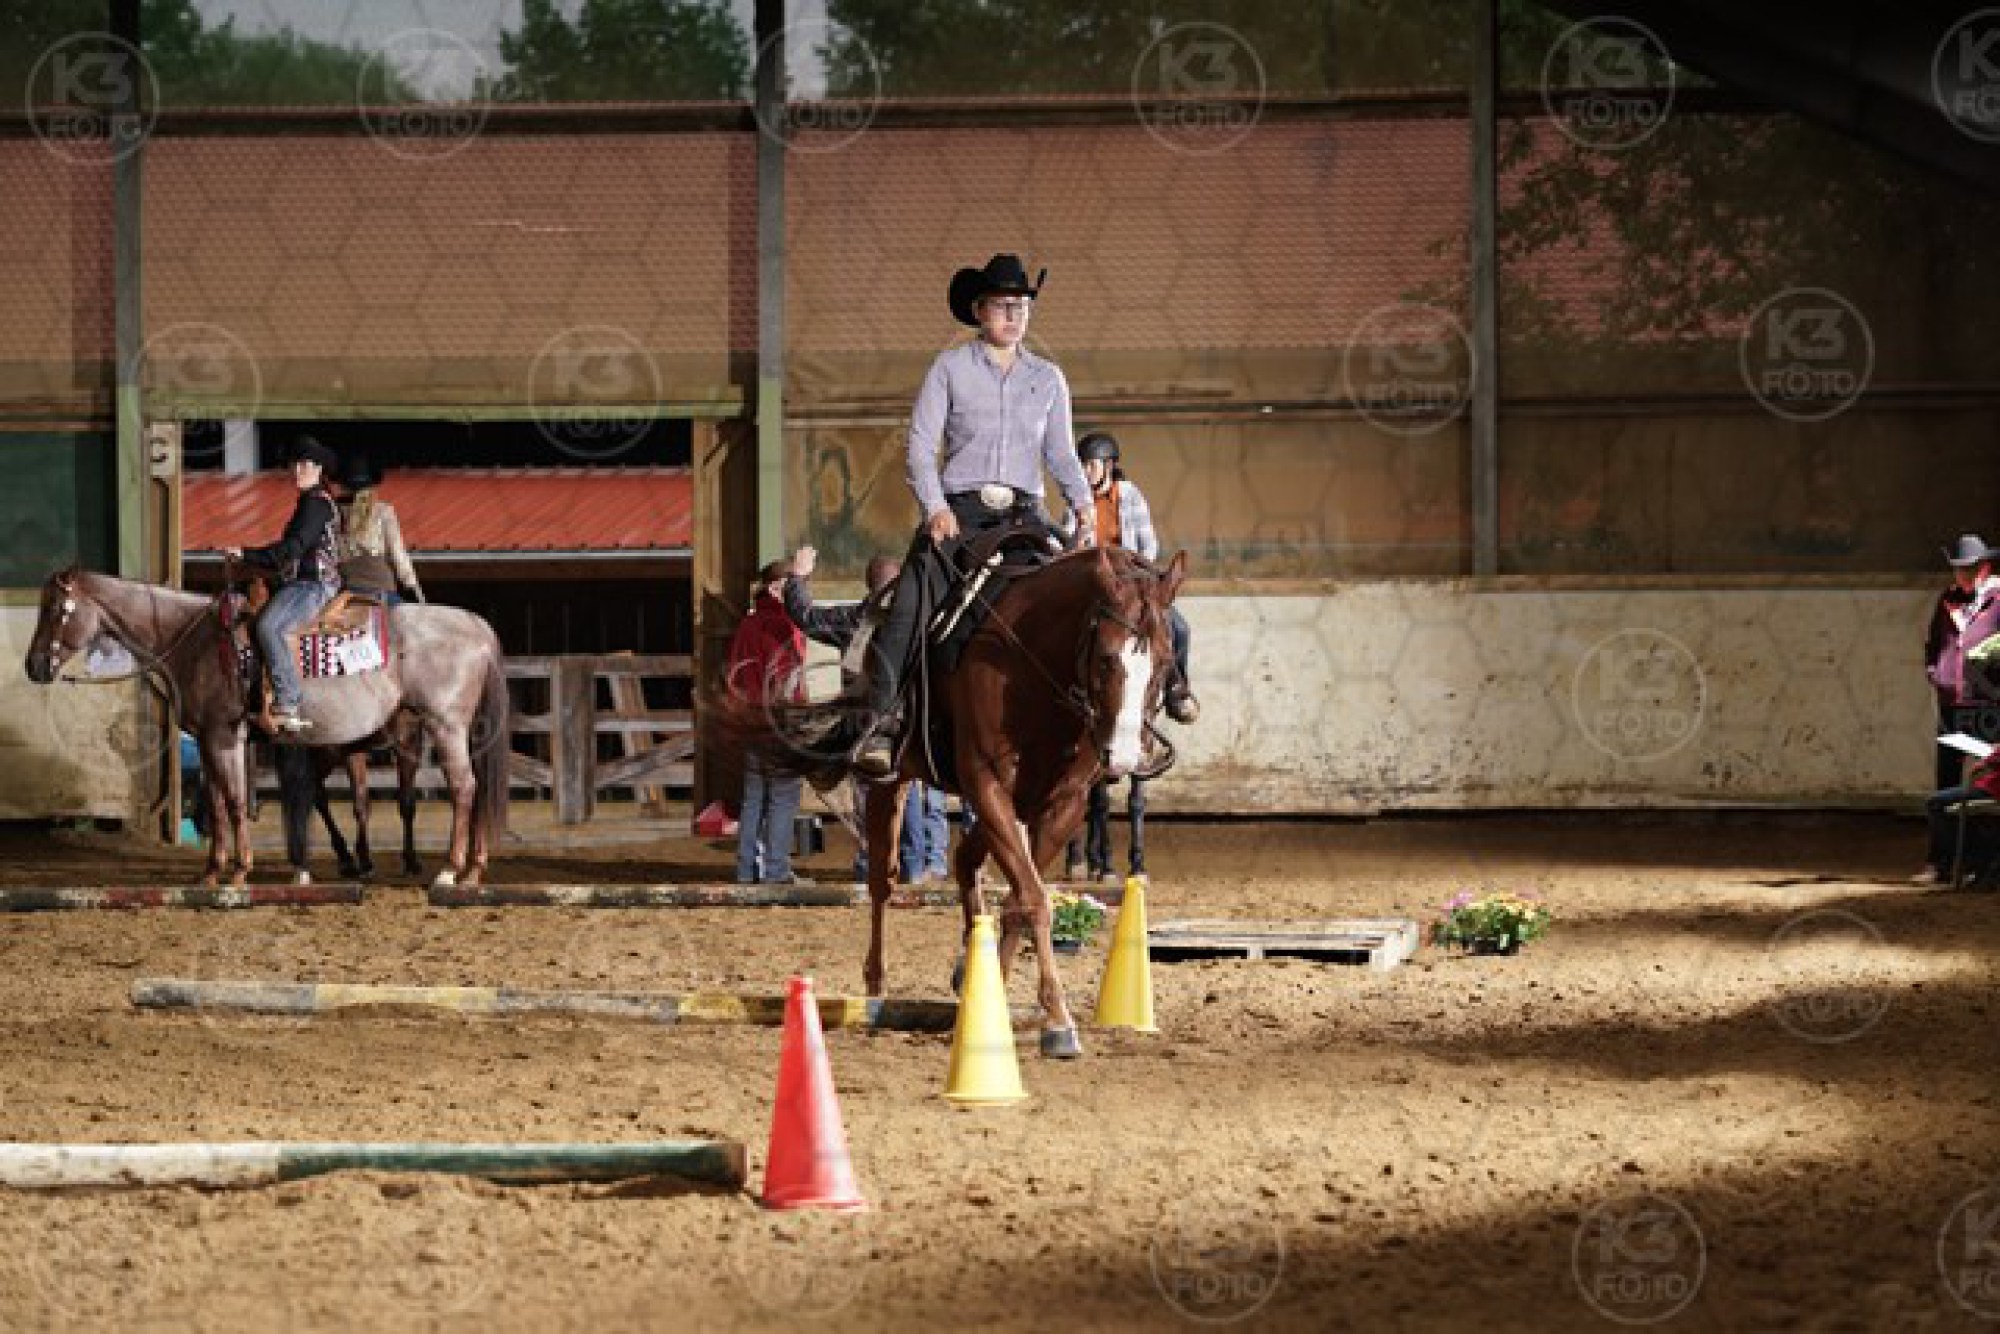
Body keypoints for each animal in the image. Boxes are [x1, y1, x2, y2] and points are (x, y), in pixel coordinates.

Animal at [23, 567, 508, 889]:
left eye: (56, 609)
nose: (34, 666)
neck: (195, 639)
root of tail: (476, 626)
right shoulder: (217, 740)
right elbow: (220, 802)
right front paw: (212, 871)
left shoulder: (220, 736)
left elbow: (237, 800)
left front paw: (240, 871)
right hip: (461, 732)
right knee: (477, 788)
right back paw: (473, 870)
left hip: (443, 727)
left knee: (464, 788)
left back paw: (448, 870)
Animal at [733, 542, 1186, 1059]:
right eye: (1108, 658)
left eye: (1165, 660)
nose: (1126, 754)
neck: (1029, 661)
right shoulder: (988, 787)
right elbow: (1034, 898)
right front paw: (1057, 1020)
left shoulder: (1061, 806)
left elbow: (1020, 898)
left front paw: (996, 992)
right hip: (893, 782)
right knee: (883, 882)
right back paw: (875, 987)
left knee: (965, 860)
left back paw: (968, 962)